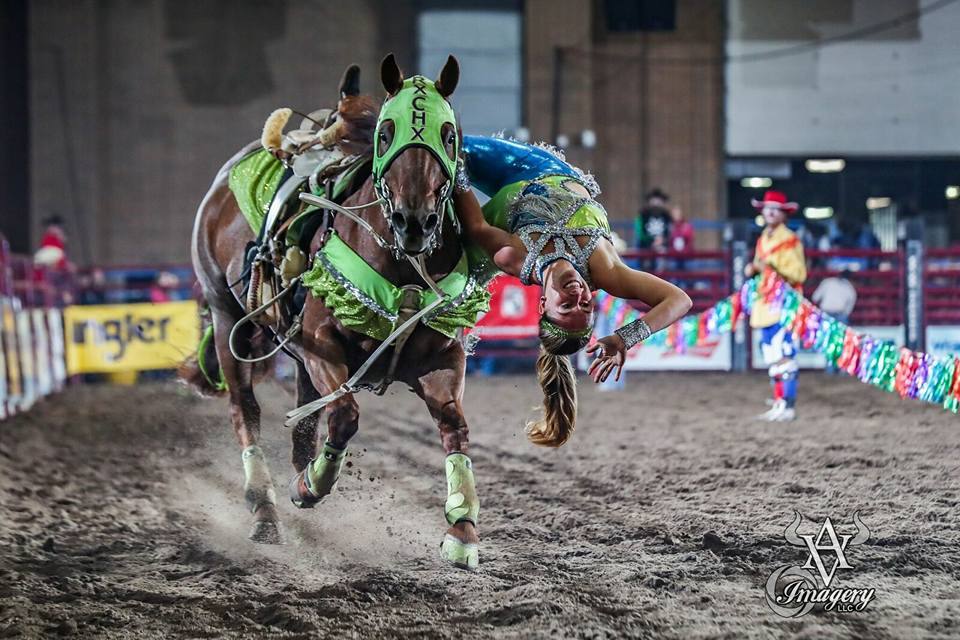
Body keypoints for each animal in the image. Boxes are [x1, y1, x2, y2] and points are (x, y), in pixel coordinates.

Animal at [186, 55, 488, 568]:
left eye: (450, 135)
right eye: (386, 132)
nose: (414, 220)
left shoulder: (442, 360)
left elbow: (455, 426)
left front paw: (462, 530)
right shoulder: (321, 347)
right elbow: (345, 416)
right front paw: (310, 486)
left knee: (304, 424)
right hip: (229, 319)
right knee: (245, 411)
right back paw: (265, 508)